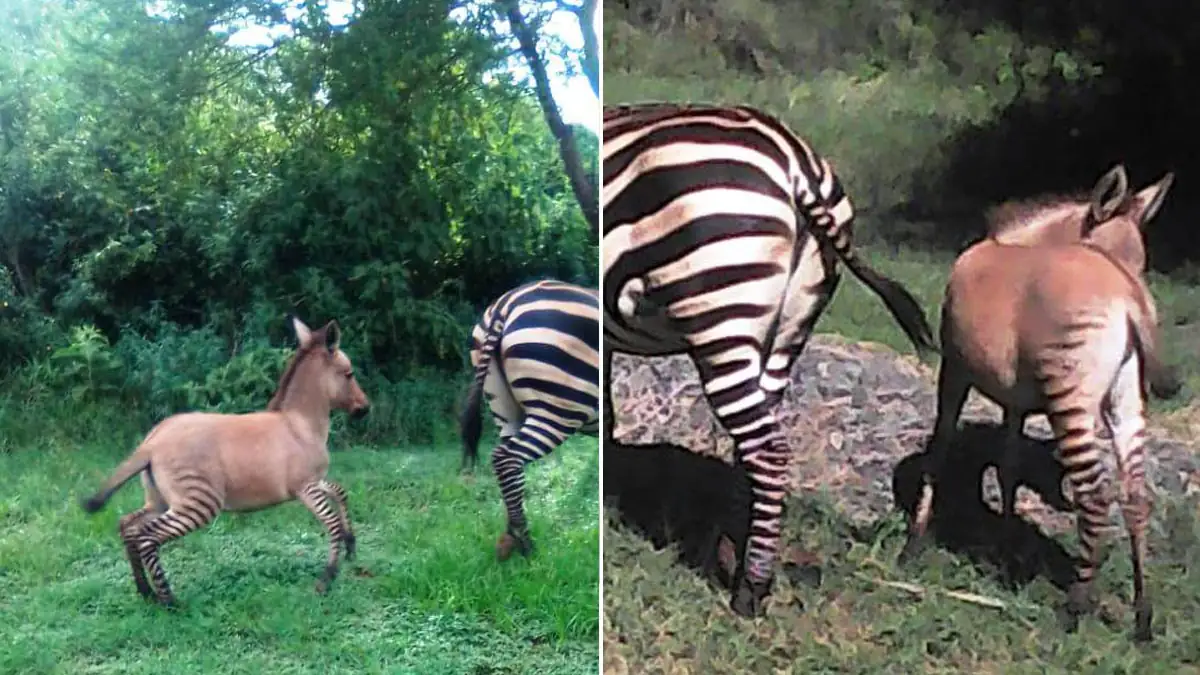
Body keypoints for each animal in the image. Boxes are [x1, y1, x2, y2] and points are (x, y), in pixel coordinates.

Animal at [460, 279, 600, 560]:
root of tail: (505, 304)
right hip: (558, 408)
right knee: (506, 459)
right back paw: (526, 545)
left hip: (503, 406)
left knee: (508, 466)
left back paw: (510, 539)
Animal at [602, 101, 938, 617]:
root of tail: (795, 159)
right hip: (786, 332)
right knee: (754, 451)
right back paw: (736, 553)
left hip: (721, 314)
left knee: (766, 449)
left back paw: (751, 590)